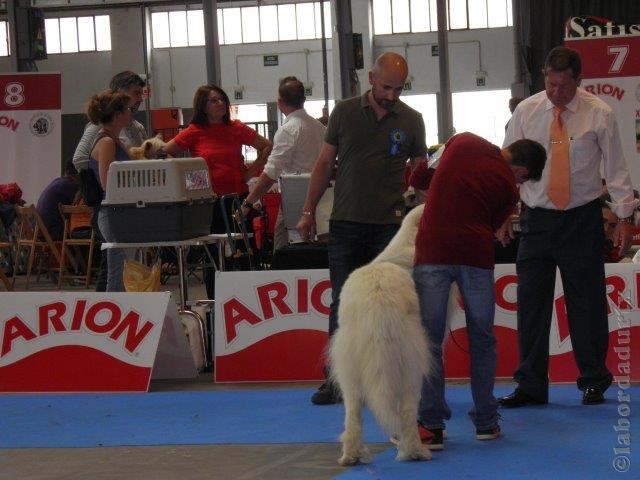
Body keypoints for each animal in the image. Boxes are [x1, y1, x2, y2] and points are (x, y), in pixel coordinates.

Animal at [330, 205, 430, 464]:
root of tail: (377, 298)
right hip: (411, 367)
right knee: (407, 411)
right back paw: (415, 450)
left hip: (348, 369)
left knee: (353, 414)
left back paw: (351, 455)